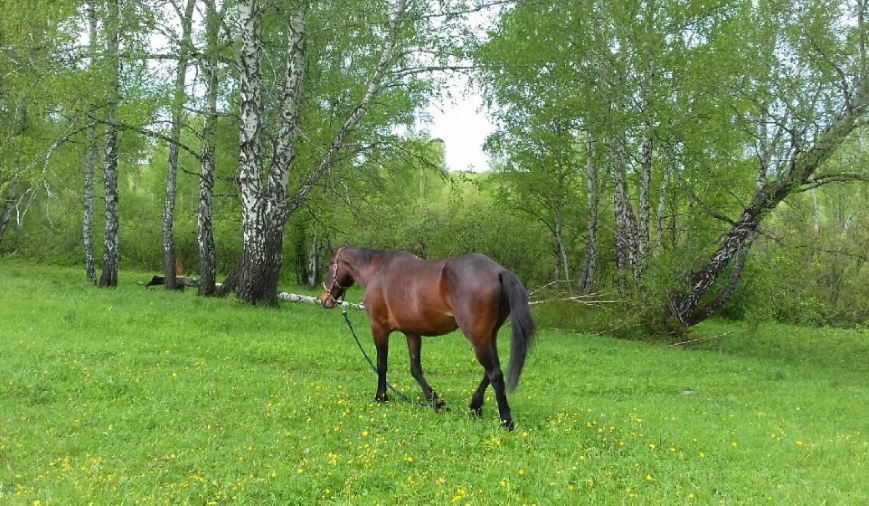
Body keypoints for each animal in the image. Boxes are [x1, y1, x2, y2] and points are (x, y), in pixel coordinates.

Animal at [318, 243, 536, 428]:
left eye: (329, 266)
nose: (324, 300)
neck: (377, 271)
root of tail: (499, 271)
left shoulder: (379, 327)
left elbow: (381, 364)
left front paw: (381, 397)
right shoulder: (412, 333)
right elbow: (416, 369)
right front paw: (436, 401)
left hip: (477, 338)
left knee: (495, 374)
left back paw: (506, 421)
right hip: (488, 336)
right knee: (490, 373)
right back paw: (475, 407)